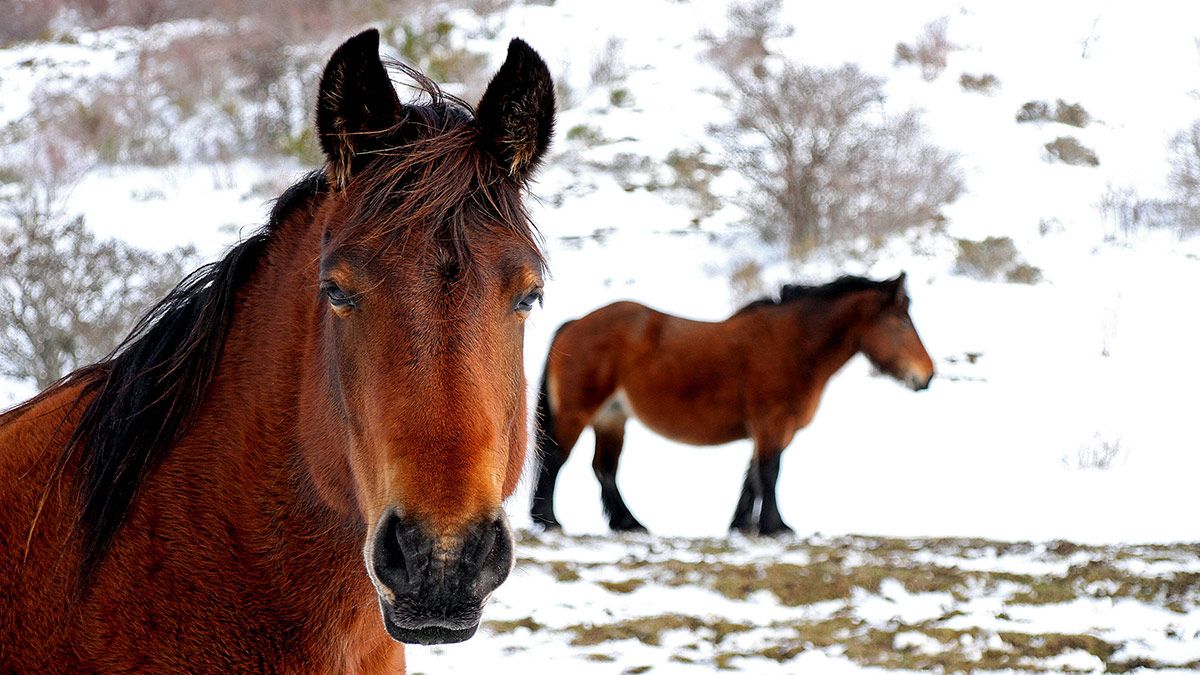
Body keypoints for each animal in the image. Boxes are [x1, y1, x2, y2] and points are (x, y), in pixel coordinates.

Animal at [530, 270, 931, 533]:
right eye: (901, 323)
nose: (926, 376)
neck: (793, 345)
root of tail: (575, 324)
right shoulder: (772, 425)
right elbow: (769, 472)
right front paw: (775, 527)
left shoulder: (767, 429)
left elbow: (752, 476)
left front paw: (741, 525)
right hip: (579, 414)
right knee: (556, 459)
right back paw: (549, 521)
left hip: (612, 418)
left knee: (604, 469)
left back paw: (628, 523)